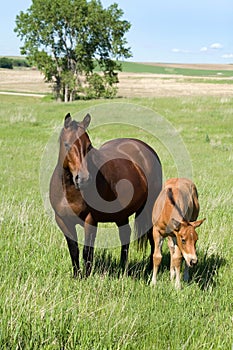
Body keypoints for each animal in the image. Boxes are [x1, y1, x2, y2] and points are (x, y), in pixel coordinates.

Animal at [49, 113, 162, 278]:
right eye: (67, 144)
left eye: (89, 146)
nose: (83, 179)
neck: (69, 191)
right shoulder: (63, 221)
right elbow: (74, 250)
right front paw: (76, 276)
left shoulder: (90, 220)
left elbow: (87, 251)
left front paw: (86, 277)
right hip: (121, 215)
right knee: (125, 236)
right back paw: (123, 269)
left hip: (149, 207)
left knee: (152, 237)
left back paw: (150, 269)